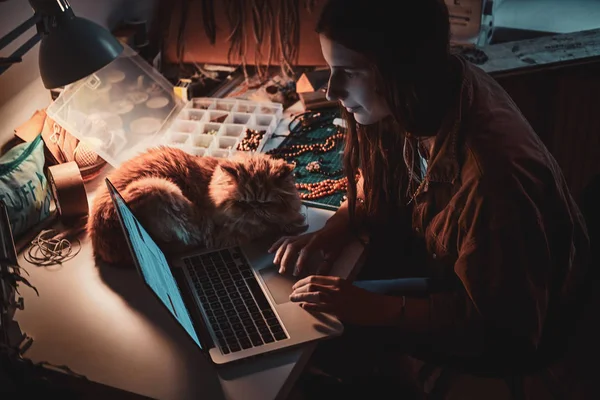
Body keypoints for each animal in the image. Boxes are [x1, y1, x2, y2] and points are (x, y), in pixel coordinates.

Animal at [88, 146, 310, 266]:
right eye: (241, 202)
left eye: (266, 202)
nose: (254, 208)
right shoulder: (222, 232)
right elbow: (266, 228)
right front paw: (293, 225)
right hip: (157, 188)